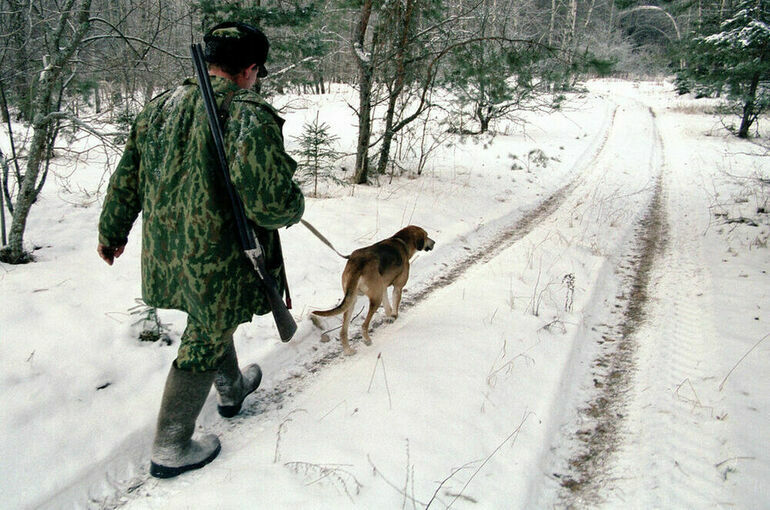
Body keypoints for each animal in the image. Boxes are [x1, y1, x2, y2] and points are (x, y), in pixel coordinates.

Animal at [310, 225, 432, 356]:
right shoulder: (397, 287)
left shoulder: (382, 288)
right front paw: (394, 316)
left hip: (352, 300)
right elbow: (395, 305)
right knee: (364, 325)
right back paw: (367, 340)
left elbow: (387, 306)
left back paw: (348, 350)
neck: (401, 241)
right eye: (426, 236)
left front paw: (390, 317)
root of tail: (358, 264)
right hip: (375, 300)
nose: (433, 242)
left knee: (343, 331)